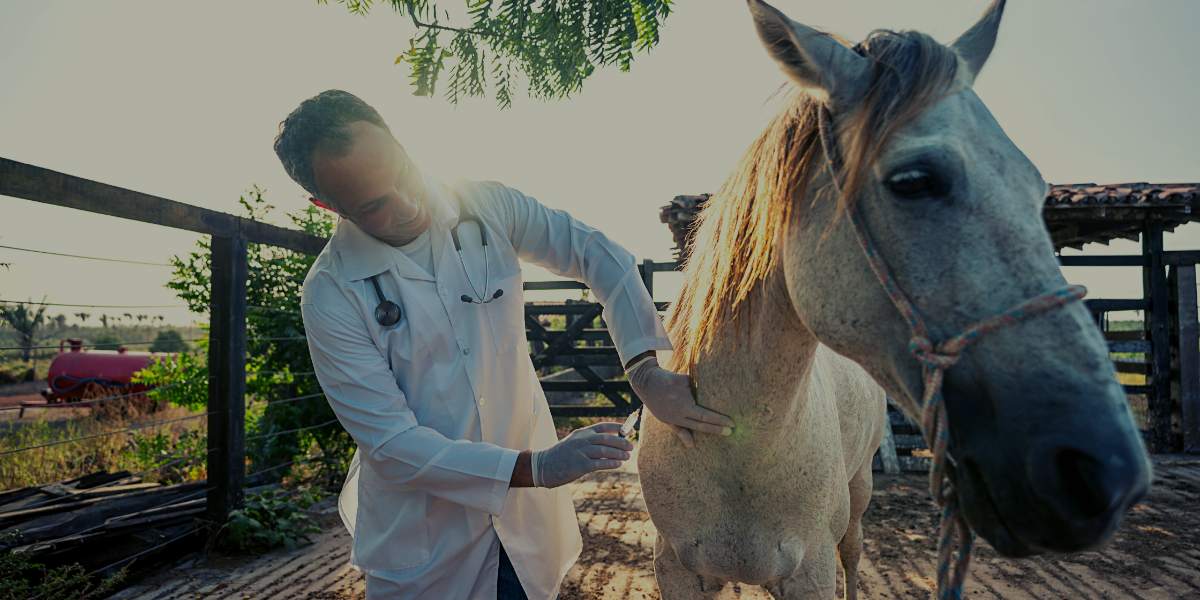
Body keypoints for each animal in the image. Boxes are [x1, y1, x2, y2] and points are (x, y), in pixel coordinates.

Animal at [636, 1, 1152, 598]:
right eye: (913, 180)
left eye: (1035, 189)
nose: (1110, 473)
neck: (732, 446)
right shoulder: (676, 570)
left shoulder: (810, 570)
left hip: (856, 504)